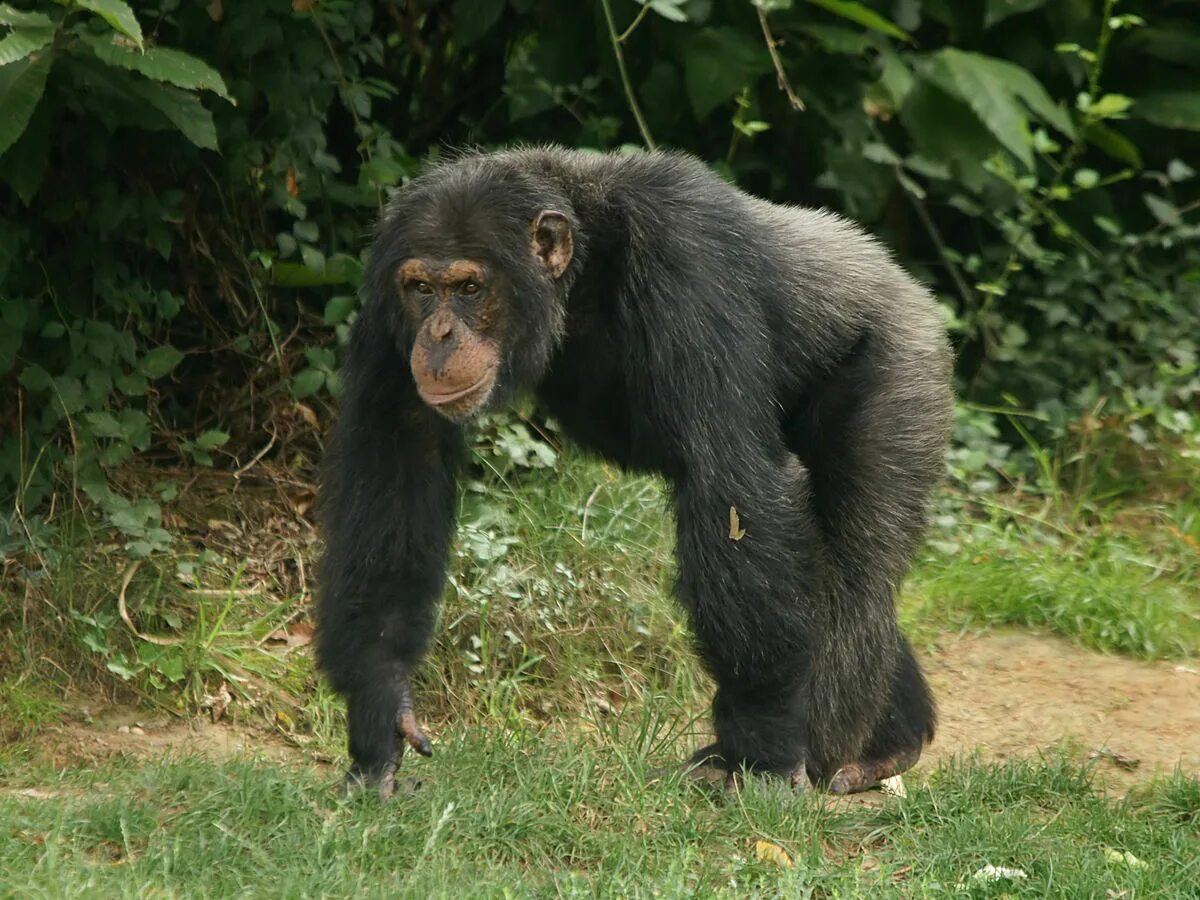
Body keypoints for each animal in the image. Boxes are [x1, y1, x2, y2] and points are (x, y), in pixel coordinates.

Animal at [316, 144, 955, 801]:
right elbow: (397, 460)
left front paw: (767, 748)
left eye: (469, 287)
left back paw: (838, 752)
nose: (439, 334)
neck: (583, 268)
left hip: (898, 371)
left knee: (856, 568)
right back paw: (890, 738)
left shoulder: (688, 263)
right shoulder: (385, 306)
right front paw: (381, 710)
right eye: (421, 287)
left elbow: (731, 481)